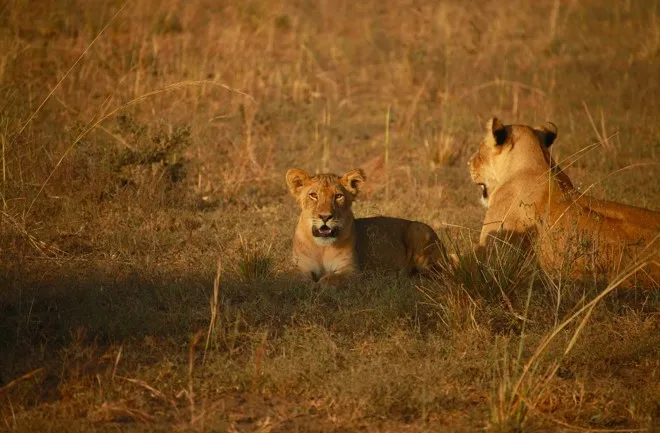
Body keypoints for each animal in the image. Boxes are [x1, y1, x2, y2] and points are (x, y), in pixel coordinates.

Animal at [284, 167, 446, 286]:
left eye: (338, 196)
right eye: (313, 195)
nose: (325, 217)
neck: (322, 248)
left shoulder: (352, 271)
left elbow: (329, 279)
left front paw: (318, 285)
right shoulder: (300, 266)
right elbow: (293, 278)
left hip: (418, 230)